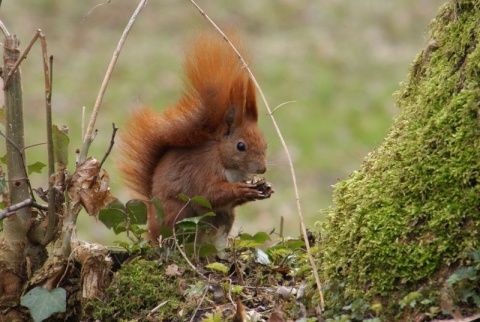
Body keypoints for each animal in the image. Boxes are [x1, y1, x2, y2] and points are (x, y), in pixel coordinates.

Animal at [116, 31, 272, 245]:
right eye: (240, 146)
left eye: (265, 143)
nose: (262, 169)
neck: (224, 160)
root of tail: (153, 230)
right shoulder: (202, 170)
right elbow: (209, 193)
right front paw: (242, 189)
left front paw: (265, 188)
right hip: (179, 215)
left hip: (223, 219)